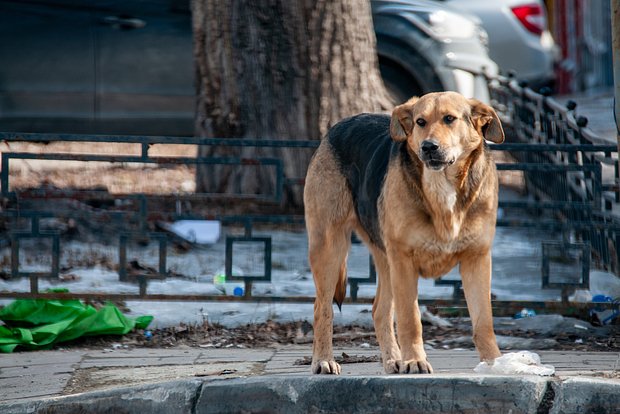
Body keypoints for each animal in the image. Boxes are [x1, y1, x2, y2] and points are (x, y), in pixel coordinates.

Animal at [304, 91, 504, 376]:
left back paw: (393, 361)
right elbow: (411, 320)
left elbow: (483, 321)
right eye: (420, 122)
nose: (428, 147)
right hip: (331, 247)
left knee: (379, 310)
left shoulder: (476, 259)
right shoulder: (404, 260)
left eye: (449, 119)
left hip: (385, 258)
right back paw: (323, 360)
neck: (442, 187)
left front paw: (495, 363)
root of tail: (337, 126)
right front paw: (414, 361)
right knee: (322, 307)